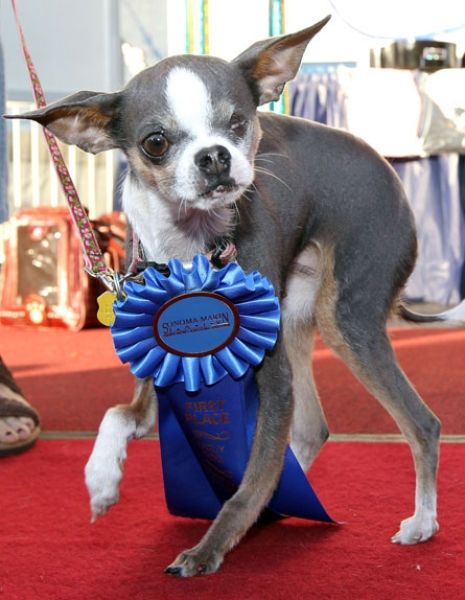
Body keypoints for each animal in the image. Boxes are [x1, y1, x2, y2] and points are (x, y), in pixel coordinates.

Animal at [10, 15, 464, 576]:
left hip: (345, 321)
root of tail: (393, 180)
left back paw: (422, 523)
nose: (214, 156)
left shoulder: (273, 381)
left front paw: (209, 548)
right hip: (295, 318)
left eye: (239, 123)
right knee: (312, 430)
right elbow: (118, 414)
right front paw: (101, 479)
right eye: (155, 142)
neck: (193, 250)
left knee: (421, 423)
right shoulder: (158, 372)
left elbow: (250, 480)